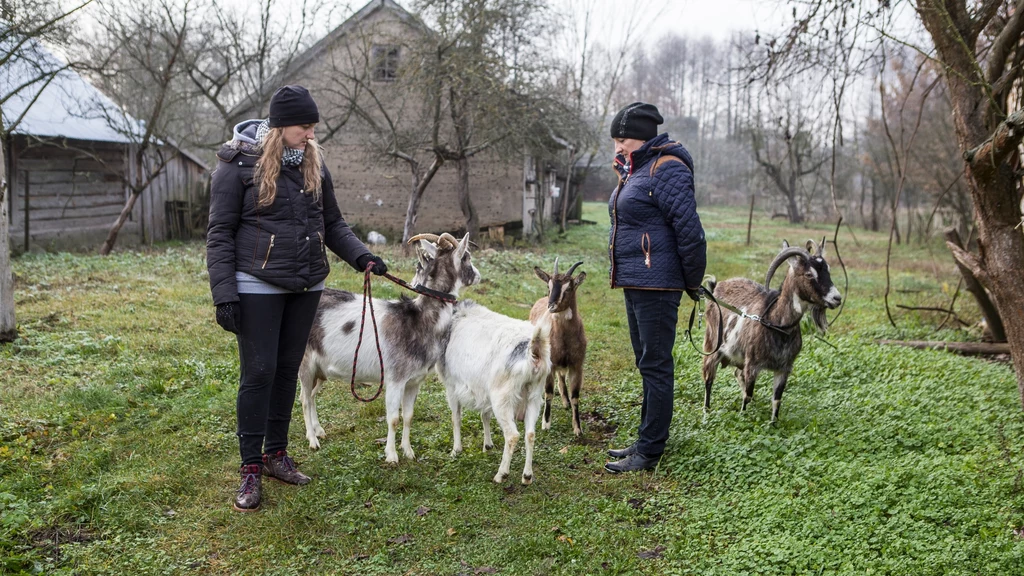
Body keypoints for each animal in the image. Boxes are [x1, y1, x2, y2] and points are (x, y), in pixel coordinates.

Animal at [296, 230, 479, 459]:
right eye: (467, 257)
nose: (478, 276)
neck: (419, 321)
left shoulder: (413, 382)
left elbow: (408, 416)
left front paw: (408, 452)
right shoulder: (395, 379)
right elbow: (393, 419)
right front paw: (391, 456)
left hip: (320, 371)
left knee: (311, 396)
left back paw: (318, 431)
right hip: (305, 362)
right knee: (304, 399)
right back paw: (313, 441)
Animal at [438, 301, 557, 483]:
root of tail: (533, 353)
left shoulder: (451, 385)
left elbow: (455, 418)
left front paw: (456, 450)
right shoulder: (484, 392)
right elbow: (484, 415)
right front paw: (487, 446)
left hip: (503, 398)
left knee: (512, 435)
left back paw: (501, 474)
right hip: (534, 396)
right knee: (530, 434)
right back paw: (527, 476)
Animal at [532, 256, 589, 434]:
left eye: (569, 287)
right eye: (548, 286)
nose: (552, 305)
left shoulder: (577, 365)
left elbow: (575, 395)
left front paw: (578, 428)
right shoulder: (550, 364)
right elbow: (549, 393)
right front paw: (546, 423)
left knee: (562, 378)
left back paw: (565, 402)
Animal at [704, 237, 839, 422]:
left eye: (828, 270)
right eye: (809, 274)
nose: (837, 298)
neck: (776, 323)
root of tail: (715, 287)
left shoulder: (784, 368)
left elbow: (776, 400)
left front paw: (773, 424)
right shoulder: (752, 364)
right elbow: (747, 395)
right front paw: (743, 418)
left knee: (737, 374)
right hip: (712, 345)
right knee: (708, 378)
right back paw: (706, 412)